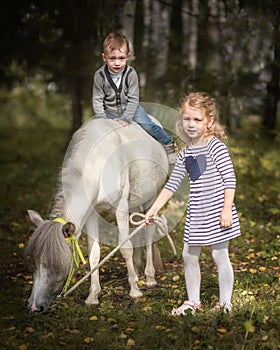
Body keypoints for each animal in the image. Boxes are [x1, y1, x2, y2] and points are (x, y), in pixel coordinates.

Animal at [25, 118, 168, 312]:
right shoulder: (92, 212)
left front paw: (135, 291)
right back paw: (137, 270)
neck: (97, 163)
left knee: (148, 232)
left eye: (55, 264)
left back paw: (150, 278)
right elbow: (94, 254)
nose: (34, 307)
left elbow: (125, 247)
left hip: (152, 198)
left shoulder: (121, 207)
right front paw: (93, 296)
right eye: (35, 261)